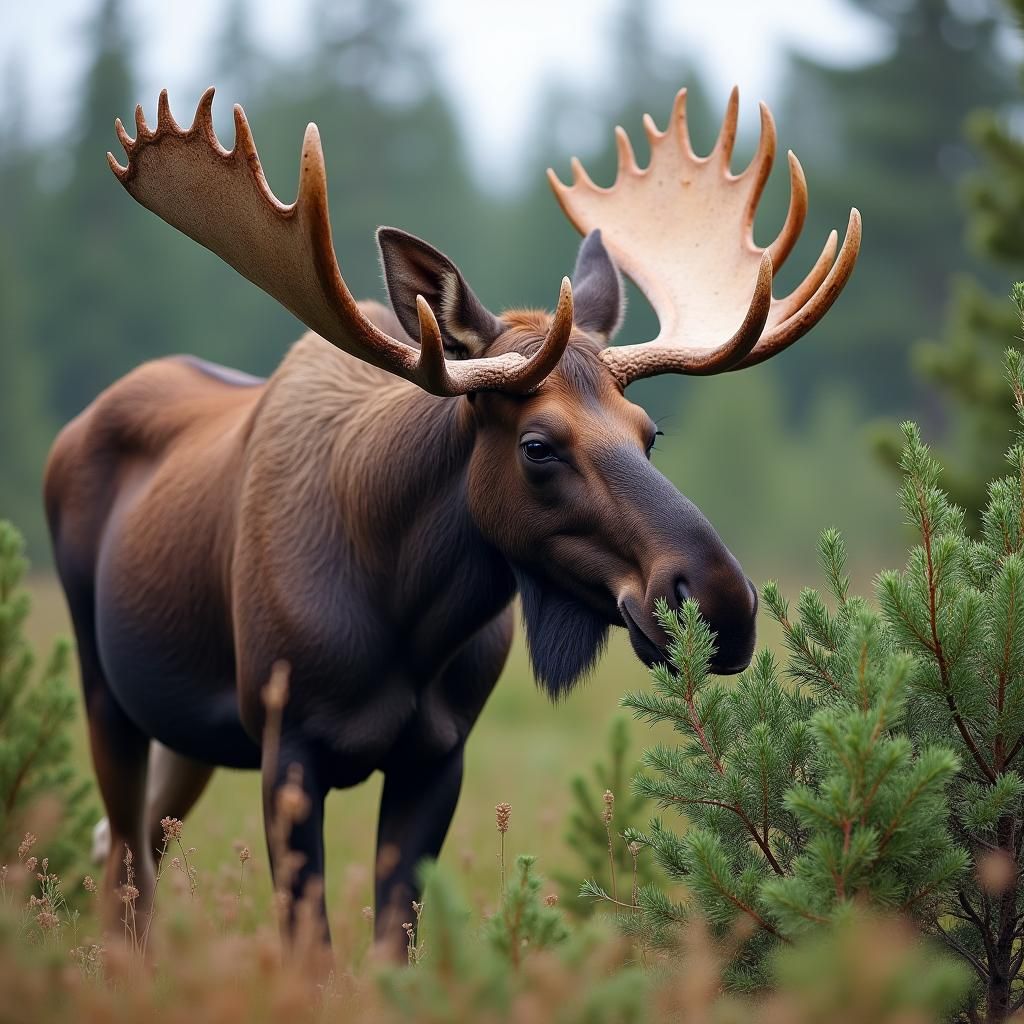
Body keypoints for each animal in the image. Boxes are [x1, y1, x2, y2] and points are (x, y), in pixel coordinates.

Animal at [44, 85, 860, 954]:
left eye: (650, 434)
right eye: (538, 445)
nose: (719, 601)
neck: (406, 614)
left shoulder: (439, 754)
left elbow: (393, 944)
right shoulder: (286, 744)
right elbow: (311, 948)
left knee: (131, 849)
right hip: (106, 688)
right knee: (126, 864)